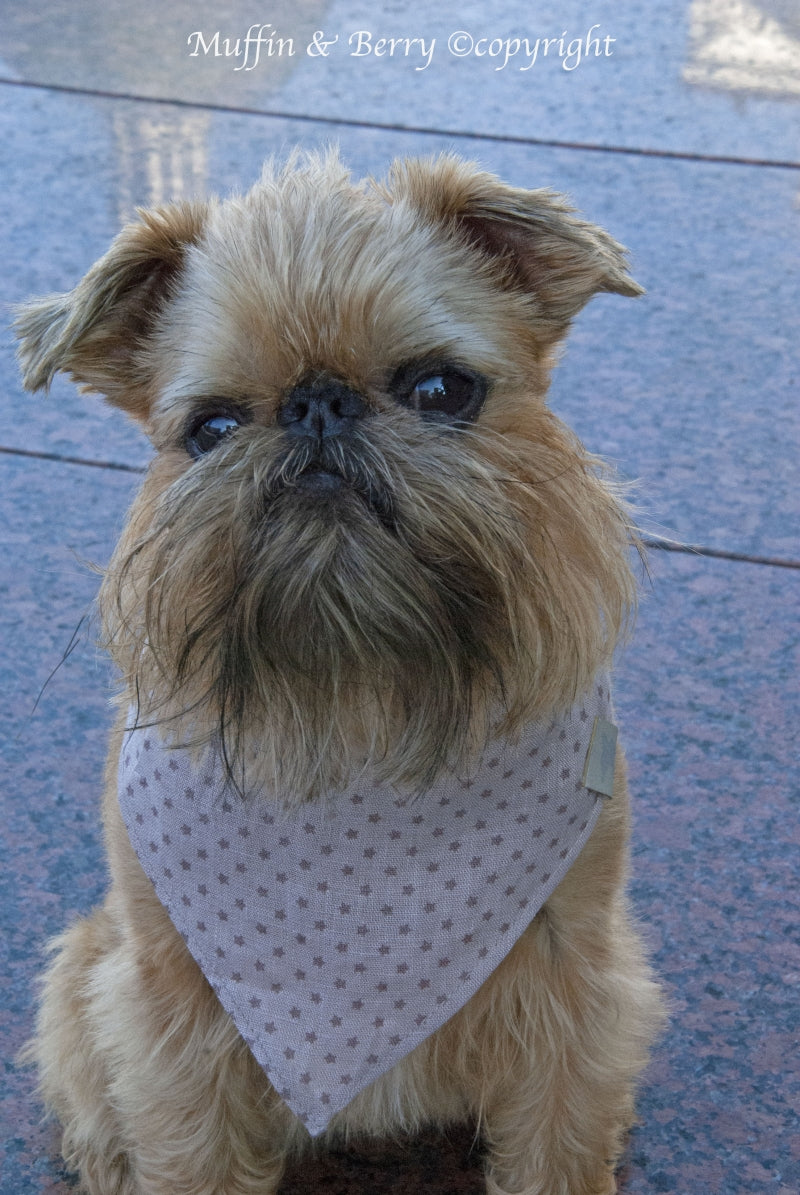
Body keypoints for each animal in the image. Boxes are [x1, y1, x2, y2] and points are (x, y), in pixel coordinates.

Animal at [17, 151, 660, 1195]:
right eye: (211, 428)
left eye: (442, 389)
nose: (317, 405)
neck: (359, 702)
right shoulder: (172, 1018)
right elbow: (192, 1155)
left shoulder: (575, 988)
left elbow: (558, 1144)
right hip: (85, 964)